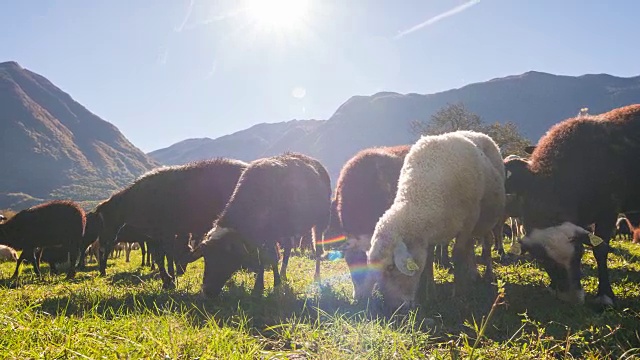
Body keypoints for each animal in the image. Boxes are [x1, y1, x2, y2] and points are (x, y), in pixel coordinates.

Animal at [94, 159, 249, 288]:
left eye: (103, 219)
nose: (102, 243)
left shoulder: (164, 232)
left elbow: (165, 255)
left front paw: (170, 279)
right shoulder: (158, 235)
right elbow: (163, 256)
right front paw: (169, 279)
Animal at [189, 153, 330, 298]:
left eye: (223, 255)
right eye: (206, 258)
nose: (207, 291)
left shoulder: (271, 235)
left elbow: (271, 257)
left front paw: (276, 285)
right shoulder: (259, 238)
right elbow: (261, 258)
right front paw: (259, 287)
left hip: (321, 222)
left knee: (317, 249)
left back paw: (316, 277)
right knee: (288, 248)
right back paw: (283, 274)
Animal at [504, 102, 640, 306]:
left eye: (579, 253)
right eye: (542, 259)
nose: (571, 297)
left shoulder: (608, 211)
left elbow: (600, 250)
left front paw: (605, 296)